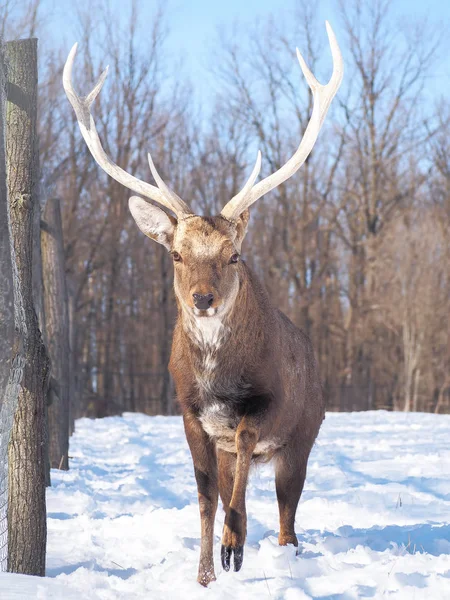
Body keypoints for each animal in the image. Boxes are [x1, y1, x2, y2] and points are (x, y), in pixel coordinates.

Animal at [62, 22, 344, 584]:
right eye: (176, 253)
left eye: (234, 254)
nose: (203, 298)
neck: (217, 379)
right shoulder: (189, 411)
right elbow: (205, 495)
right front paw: (205, 574)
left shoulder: (263, 405)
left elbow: (242, 467)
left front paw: (234, 547)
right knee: (249, 490)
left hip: (305, 433)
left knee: (288, 516)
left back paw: (276, 554)